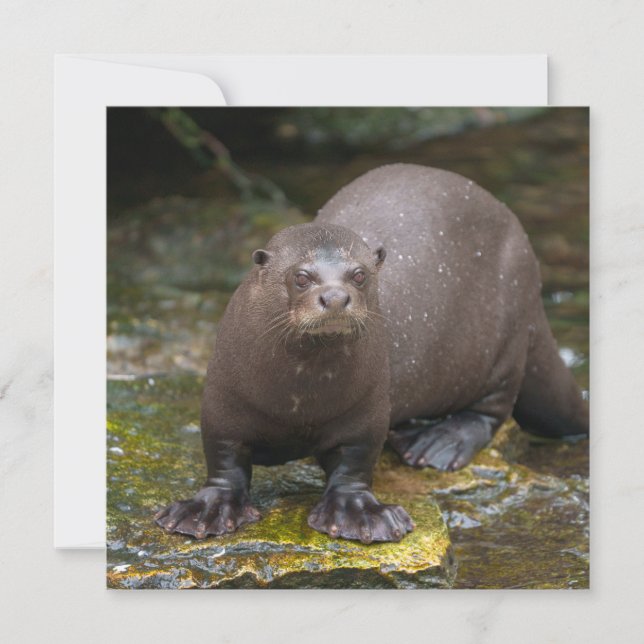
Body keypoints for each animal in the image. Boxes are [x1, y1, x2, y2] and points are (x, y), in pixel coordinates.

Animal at [155, 164, 588, 544]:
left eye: (360, 274)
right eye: (301, 277)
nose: (335, 297)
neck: (297, 400)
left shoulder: (366, 408)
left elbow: (356, 461)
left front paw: (358, 514)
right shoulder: (221, 401)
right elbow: (223, 459)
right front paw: (207, 510)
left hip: (509, 331)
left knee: (494, 406)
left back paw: (438, 442)